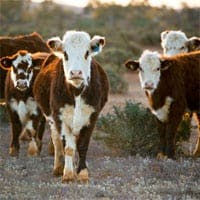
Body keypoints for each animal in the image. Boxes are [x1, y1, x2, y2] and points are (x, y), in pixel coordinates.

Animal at [34, 30, 109, 183]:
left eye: (87, 53)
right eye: (65, 53)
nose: (75, 73)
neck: (77, 92)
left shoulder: (91, 117)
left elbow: (82, 145)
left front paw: (82, 173)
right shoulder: (60, 118)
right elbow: (67, 147)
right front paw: (68, 173)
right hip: (52, 119)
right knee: (57, 141)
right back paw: (58, 167)